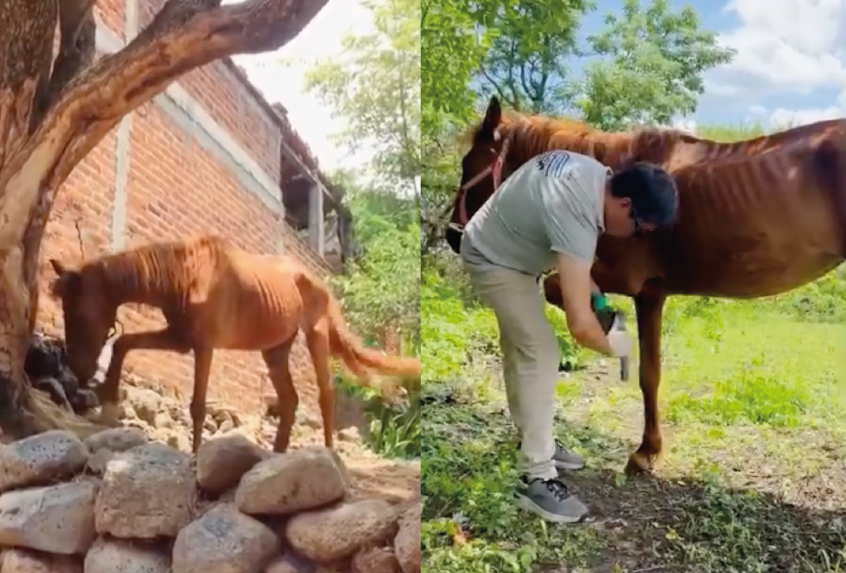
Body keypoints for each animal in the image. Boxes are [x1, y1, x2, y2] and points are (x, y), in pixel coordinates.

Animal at [44, 232, 422, 452]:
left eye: (77, 311)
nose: (77, 369)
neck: (185, 273)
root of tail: (321, 283)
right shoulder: (180, 339)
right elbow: (123, 343)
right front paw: (107, 404)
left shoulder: (203, 346)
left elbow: (198, 406)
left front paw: (196, 456)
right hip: (274, 348)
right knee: (290, 400)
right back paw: (277, 456)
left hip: (316, 335)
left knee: (325, 395)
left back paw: (330, 454)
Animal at [448, 96, 844, 474]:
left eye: (469, 164)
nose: (453, 236)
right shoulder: (652, 292)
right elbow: (650, 373)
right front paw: (649, 449)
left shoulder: (631, 280)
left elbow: (557, 289)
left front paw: (643, 452)